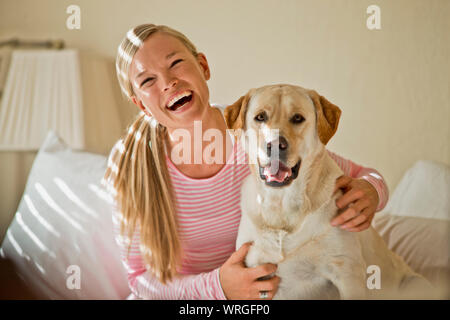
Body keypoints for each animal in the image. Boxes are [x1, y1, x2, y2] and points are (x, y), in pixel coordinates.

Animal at [225, 84, 436, 300]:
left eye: (298, 118)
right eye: (260, 117)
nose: (275, 145)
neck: (282, 205)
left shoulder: (347, 273)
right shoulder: (258, 276)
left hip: (416, 283)